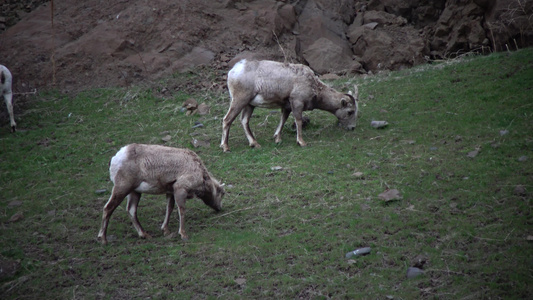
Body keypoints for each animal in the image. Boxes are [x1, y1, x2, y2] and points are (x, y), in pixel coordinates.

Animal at [220, 59, 358, 152]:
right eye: (350, 111)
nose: (352, 128)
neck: (313, 85)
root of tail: (234, 71)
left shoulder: (286, 107)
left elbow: (283, 120)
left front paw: (277, 139)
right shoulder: (297, 103)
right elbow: (298, 121)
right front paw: (301, 142)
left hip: (249, 105)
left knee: (244, 121)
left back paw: (255, 144)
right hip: (239, 101)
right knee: (227, 120)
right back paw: (226, 147)